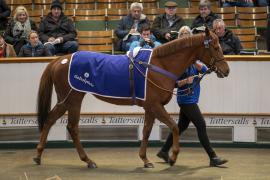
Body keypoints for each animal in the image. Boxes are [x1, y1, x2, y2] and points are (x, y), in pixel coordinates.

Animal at [32, 28, 229, 169]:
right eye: (216, 47)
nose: (226, 70)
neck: (159, 66)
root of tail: (61, 60)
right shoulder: (155, 106)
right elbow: (173, 126)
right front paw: (173, 157)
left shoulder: (150, 107)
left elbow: (147, 131)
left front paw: (145, 160)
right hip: (72, 100)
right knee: (72, 127)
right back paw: (87, 160)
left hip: (66, 100)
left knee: (49, 120)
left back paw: (39, 156)